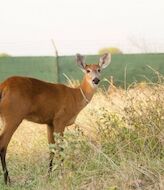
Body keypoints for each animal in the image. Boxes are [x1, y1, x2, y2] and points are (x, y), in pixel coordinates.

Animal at [0, 53, 111, 184]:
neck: (76, 97)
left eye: (99, 70)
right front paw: (62, 175)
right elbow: (60, 148)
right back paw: (8, 181)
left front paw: (49, 176)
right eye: (88, 70)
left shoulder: (50, 122)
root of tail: (4, 86)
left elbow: (51, 148)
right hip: (13, 116)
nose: (96, 80)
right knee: (3, 144)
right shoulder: (60, 119)